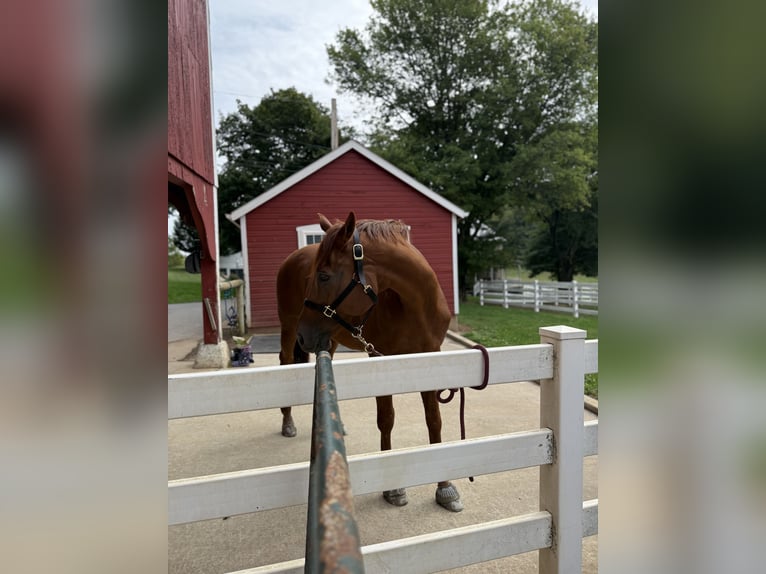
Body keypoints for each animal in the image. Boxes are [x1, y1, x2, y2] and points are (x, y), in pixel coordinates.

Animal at [276, 211, 462, 512]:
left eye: (324, 276)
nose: (305, 334)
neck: (414, 306)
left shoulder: (429, 357)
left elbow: (434, 420)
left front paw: (445, 489)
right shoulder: (379, 357)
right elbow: (386, 419)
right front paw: (393, 490)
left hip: (327, 338)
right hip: (290, 327)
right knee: (284, 362)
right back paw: (287, 423)